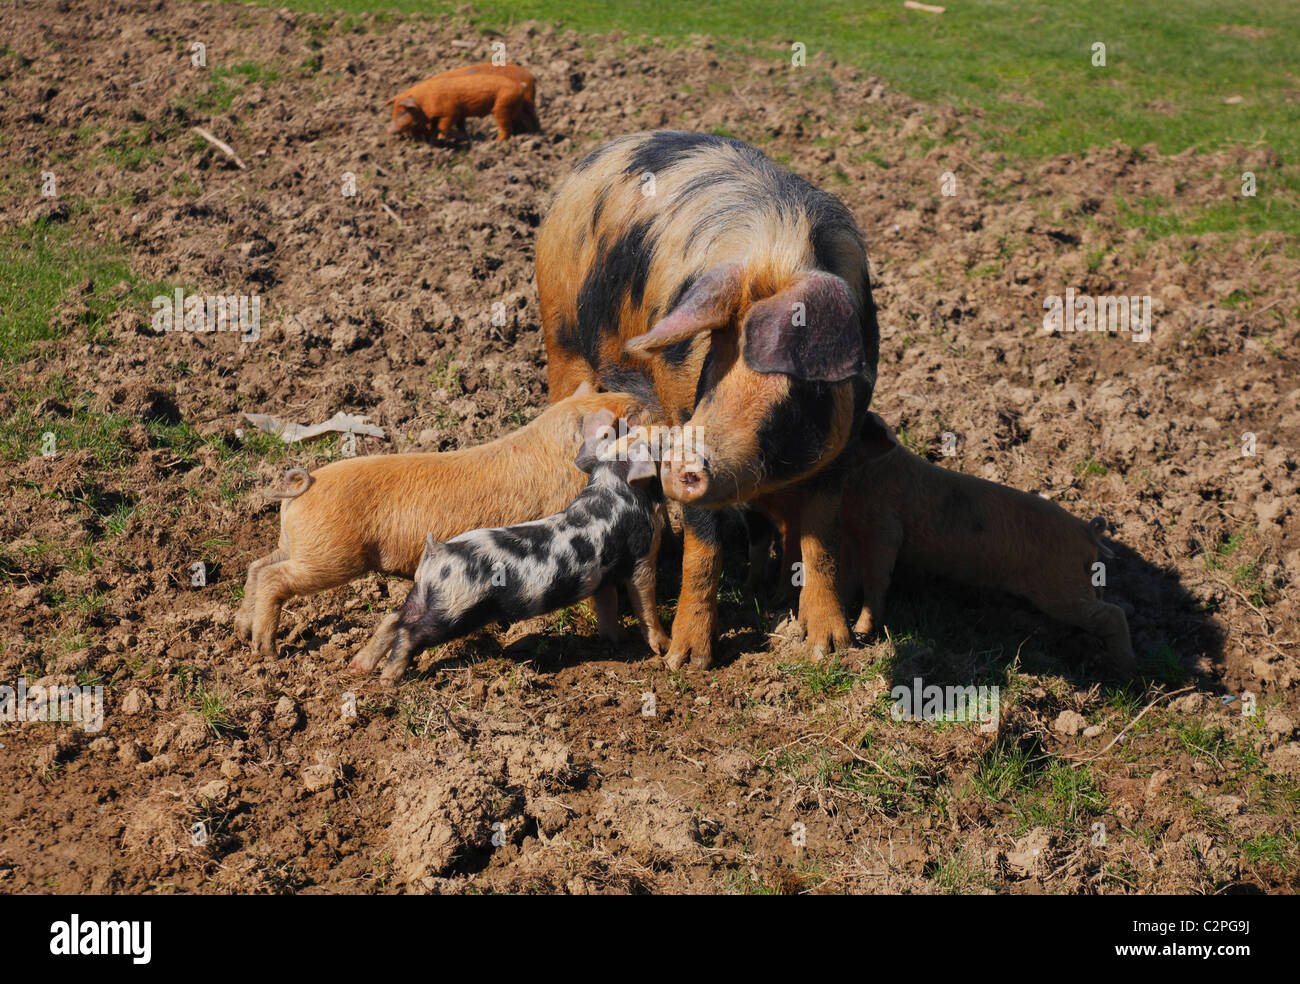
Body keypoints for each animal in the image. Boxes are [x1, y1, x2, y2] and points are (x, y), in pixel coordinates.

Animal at [533, 130, 878, 665]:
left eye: (798, 390)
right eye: (713, 368)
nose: (687, 461)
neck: (778, 256)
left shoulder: (841, 448)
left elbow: (821, 542)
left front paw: (827, 646)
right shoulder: (681, 411)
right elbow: (705, 545)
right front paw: (684, 661)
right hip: (561, 337)